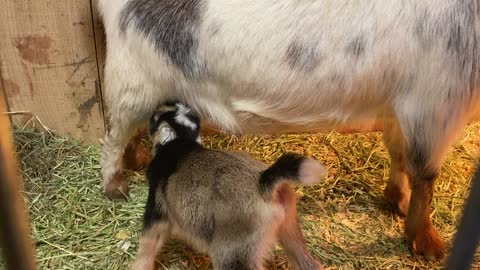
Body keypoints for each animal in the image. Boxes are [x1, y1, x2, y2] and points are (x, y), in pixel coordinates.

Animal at [131, 102, 326, 268]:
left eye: (155, 116)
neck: (178, 143)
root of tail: (264, 182)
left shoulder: (156, 206)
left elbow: (148, 242)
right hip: (289, 226)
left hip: (233, 250)